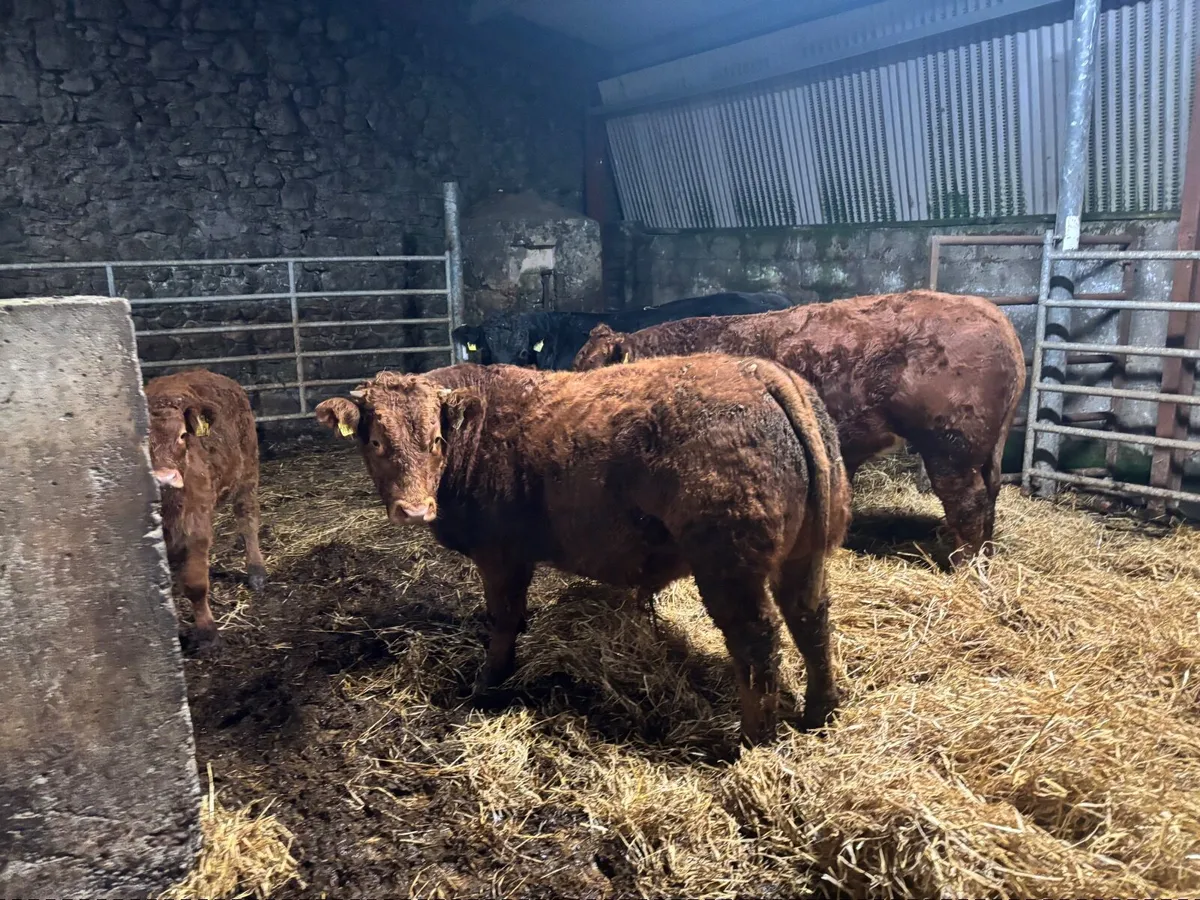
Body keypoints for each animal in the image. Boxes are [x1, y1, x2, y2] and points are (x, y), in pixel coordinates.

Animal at [145, 369, 267, 650]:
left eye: (182, 435)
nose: (164, 478)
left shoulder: (195, 526)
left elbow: (196, 584)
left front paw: (208, 632)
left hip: (248, 472)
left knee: (248, 519)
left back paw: (256, 570)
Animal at [316, 354, 851, 746]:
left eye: (434, 439)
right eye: (376, 441)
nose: (414, 509)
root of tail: (763, 372)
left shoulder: (500, 554)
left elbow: (503, 618)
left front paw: (488, 685)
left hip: (729, 567)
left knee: (757, 641)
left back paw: (752, 739)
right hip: (804, 557)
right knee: (811, 618)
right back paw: (820, 710)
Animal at [573, 290, 1026, 563]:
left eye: (594, 372)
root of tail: (992, 314)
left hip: (950, 446)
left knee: (967, 503)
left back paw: (965, 565)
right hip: (978, 453)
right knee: (987, 499)